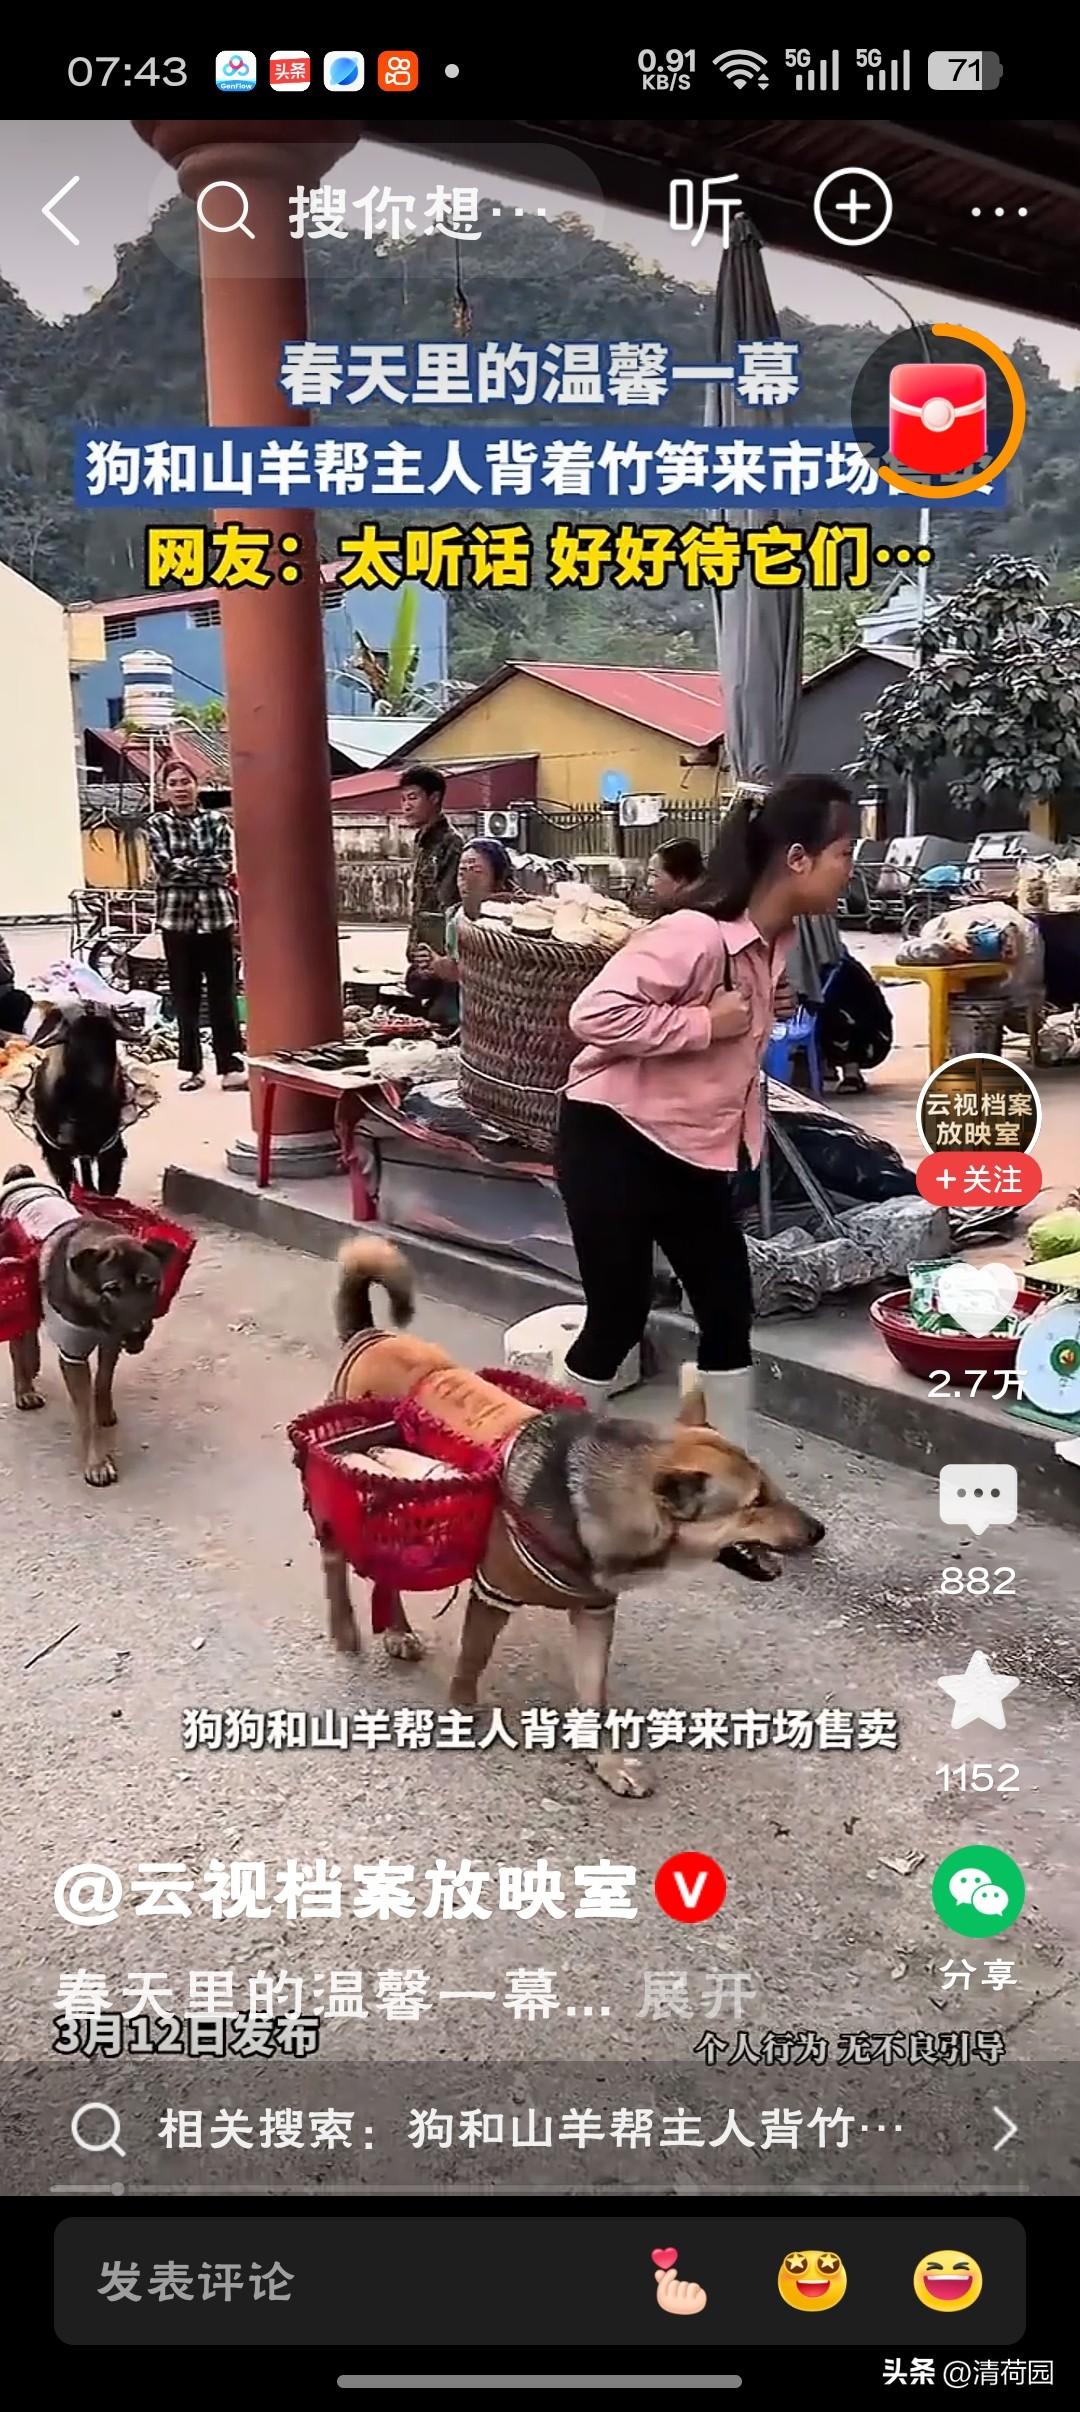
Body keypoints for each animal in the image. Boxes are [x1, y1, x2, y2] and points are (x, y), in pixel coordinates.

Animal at [1, 1166, 175, 1486]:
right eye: (112, 1289)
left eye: (150, 1284)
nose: (138, 1331)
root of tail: (21, 1178)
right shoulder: (73, 1355)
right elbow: (85, 1417)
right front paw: (96, 1463)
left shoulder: (110, 1341)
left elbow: (103, 1381)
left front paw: (104, 1410)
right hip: (17, 1281)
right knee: (19, 1339)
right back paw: (24, 1388)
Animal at [31, 1005, 127, 1196]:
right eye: (72, 1040)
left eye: (109, 1038)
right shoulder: (54, 1151)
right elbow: (67, 1182)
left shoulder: (110, 1147)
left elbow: (107, 1185)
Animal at [318, 1237, 825, 1796]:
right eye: (754, 1504)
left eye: (772, 1490)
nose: (818, 1531)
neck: (595, 1498)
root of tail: (372, 1335)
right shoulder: (492, 1594)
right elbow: (471, 1665)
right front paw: (462, 1713)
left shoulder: (595, 1611)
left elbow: (593, 1693)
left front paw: (605, 1760)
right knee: (339, 1558)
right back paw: (348, 1628)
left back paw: (395, 1629)